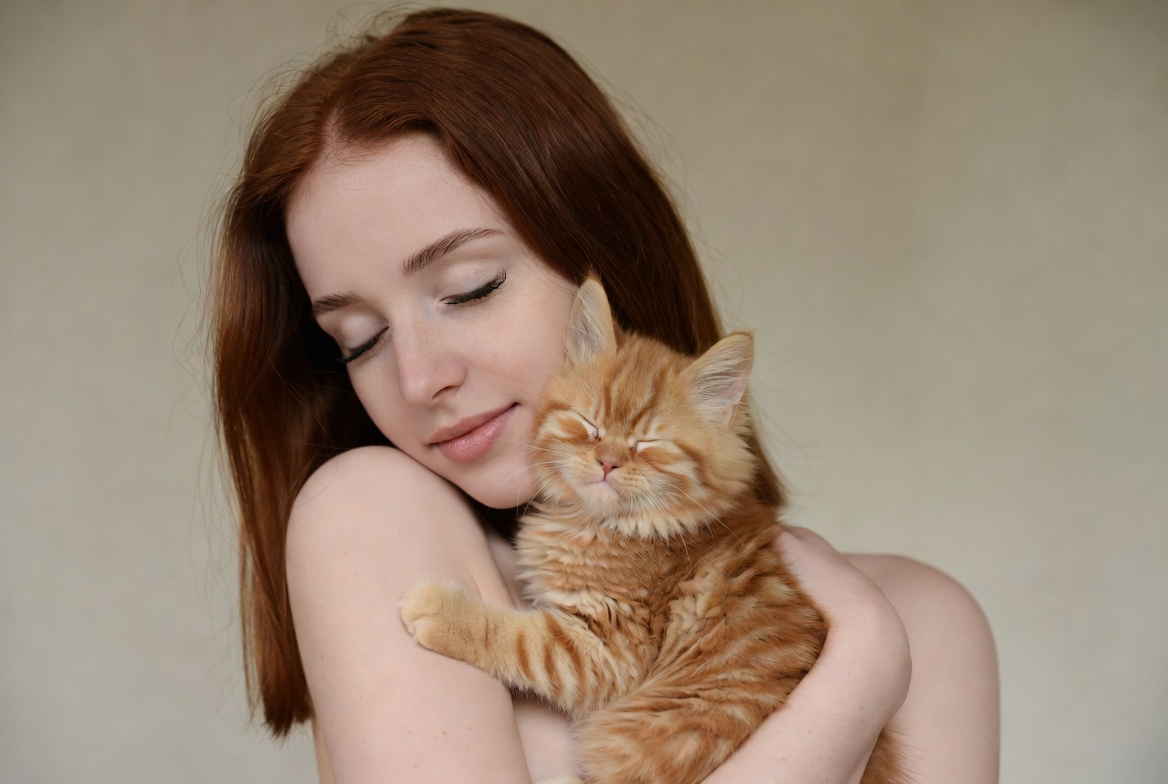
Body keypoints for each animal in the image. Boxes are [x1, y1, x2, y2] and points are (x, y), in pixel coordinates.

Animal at [400, 278, 904, 784]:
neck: (602, 524)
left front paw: (442, 611)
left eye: (647, 442)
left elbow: (521, 641)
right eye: (589, 424)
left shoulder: (611, 648)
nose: (608, 461)